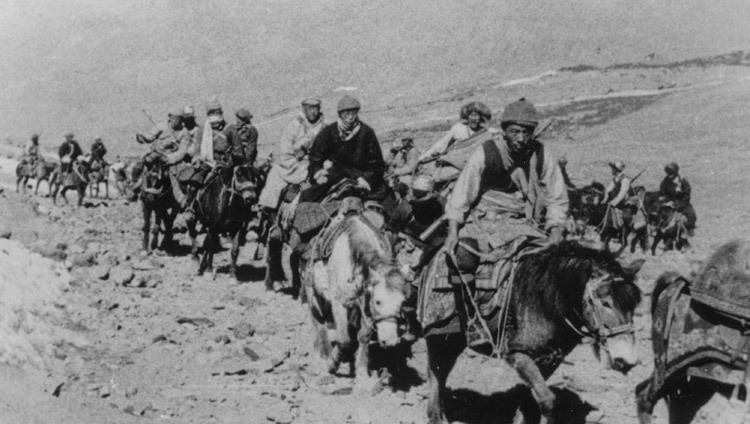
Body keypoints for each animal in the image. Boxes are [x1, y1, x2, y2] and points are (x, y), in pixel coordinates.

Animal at [304, 210, 412, 390]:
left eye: (403, 302)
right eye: (378, 301)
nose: (390, 341)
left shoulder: (364, 306)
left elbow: (364, 337)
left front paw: (362, 374)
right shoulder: (339, 303)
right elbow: (343, 340)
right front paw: (332, 364)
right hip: (313, 291)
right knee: (318, 320)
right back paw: (323, 353)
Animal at [424, 242, 648, 424]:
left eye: (634, 304)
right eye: (605, 302)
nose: (626, 360)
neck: (546, 303)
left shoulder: (549, 360)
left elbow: (531, 398)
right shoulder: (517, 354)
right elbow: (548, 400)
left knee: (440, 374)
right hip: (439, 339)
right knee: (436, 373)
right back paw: (436, 417)